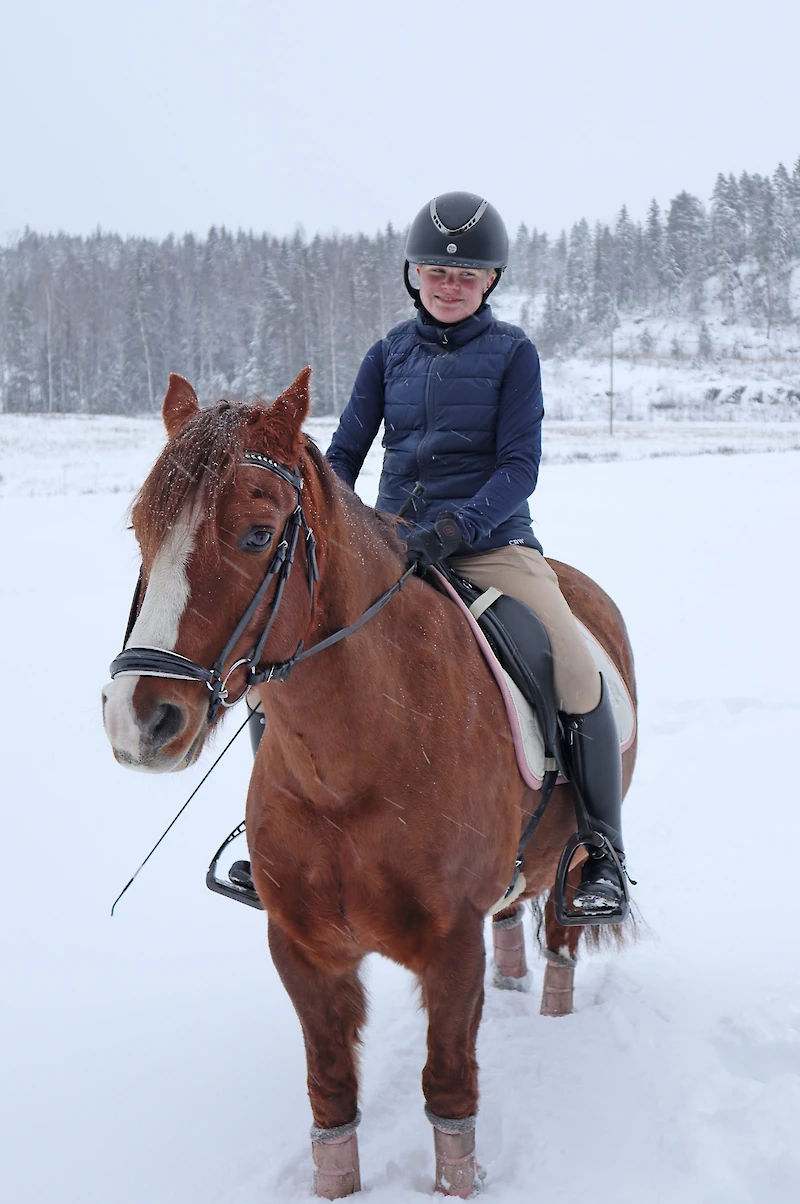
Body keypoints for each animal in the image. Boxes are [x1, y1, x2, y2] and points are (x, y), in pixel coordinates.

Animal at [103, 370, 636, 1199]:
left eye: (256, 534)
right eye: (140, 531)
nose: (138, 721)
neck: (350, 775)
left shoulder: (450, 950)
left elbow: (450, 1099)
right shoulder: (302, 948)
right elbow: (331, 1101)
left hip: (575, 861)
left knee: (561, 934)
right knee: (514, 917)